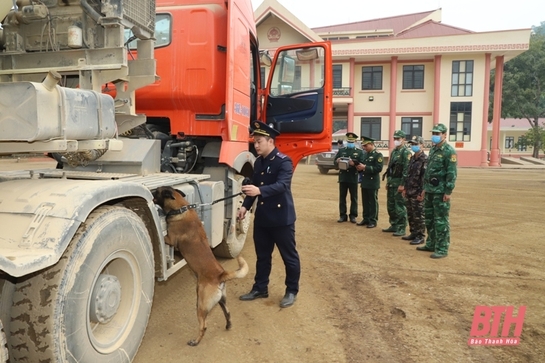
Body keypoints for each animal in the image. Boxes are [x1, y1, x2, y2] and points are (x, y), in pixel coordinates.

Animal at [152, 188, 248, 346]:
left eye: (157, 192)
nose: (152, 190)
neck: (181, 208)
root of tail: (220, 275)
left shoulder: (170, 239)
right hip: (221, 301)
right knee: (228, 313)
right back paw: (228, 325)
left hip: (201, 304)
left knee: (203, 326)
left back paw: (195, 341)